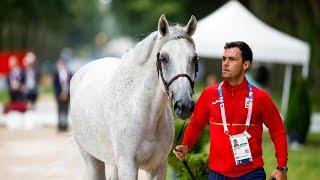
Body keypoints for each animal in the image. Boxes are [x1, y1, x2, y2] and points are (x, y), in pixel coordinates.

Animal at [70, 14, 198, 179]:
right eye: (163, 58)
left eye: (194, 58)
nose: (184, 106)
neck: (143, 112)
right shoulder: (128, 166)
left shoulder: (158, 167)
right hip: (91, 158)